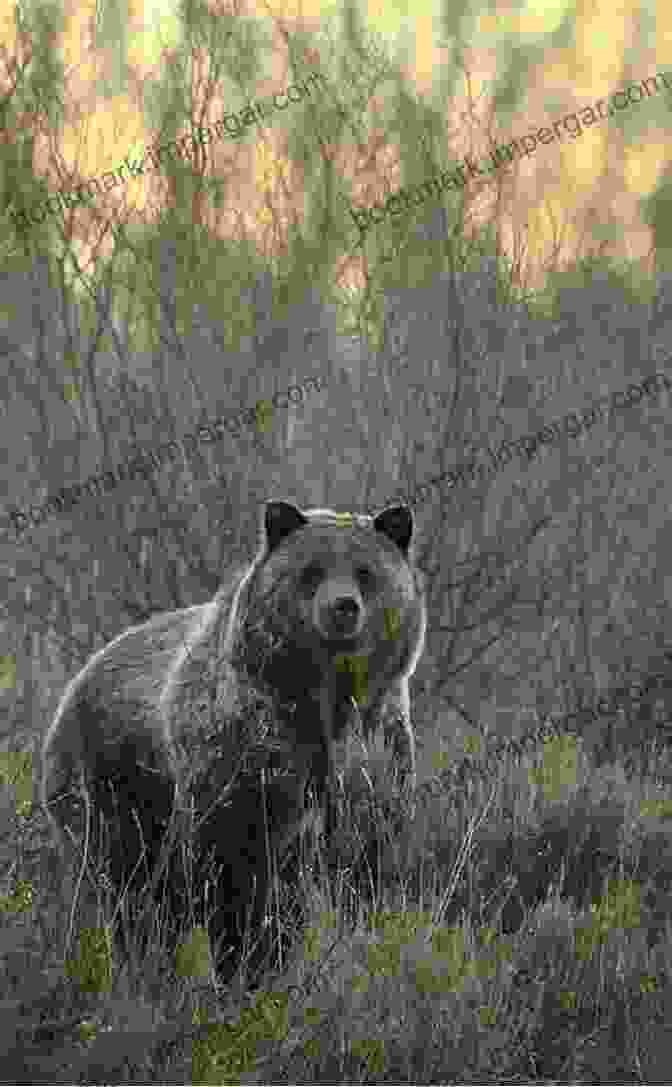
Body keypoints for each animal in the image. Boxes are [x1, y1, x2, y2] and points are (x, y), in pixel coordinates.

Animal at [41, 497, 424, 973]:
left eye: (365, 571)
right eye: (312, 569)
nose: (342, 607)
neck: (325, 700)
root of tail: (79, 676)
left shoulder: (375, 752)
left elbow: (364, 858)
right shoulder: (245, 755)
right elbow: (235, 869)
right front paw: (250, 957)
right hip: (108, 779)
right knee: (120, 883)